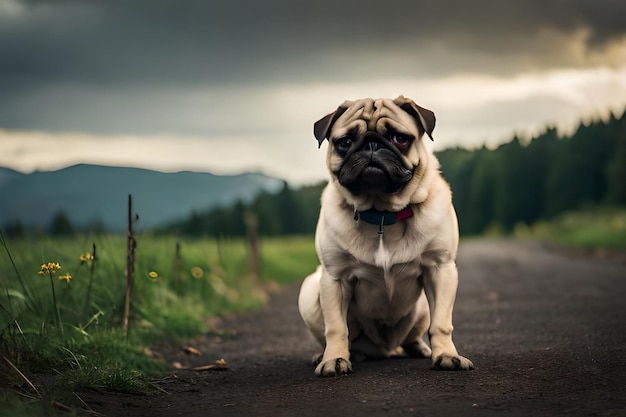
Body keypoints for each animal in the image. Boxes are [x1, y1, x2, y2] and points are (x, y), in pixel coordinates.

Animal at [298, 96, 472, 376]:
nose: (372, 144)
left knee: (414, 335)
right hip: (310, 291)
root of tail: (385, 349)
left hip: (422, 307)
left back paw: (419, 349)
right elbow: (335, 328)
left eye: (400, 138)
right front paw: (334, 359)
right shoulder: (335, 278)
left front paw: (446, 355)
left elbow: (442, 324)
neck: (381, 214)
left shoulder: (440, 269)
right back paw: (333, 355)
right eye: (344, 142)